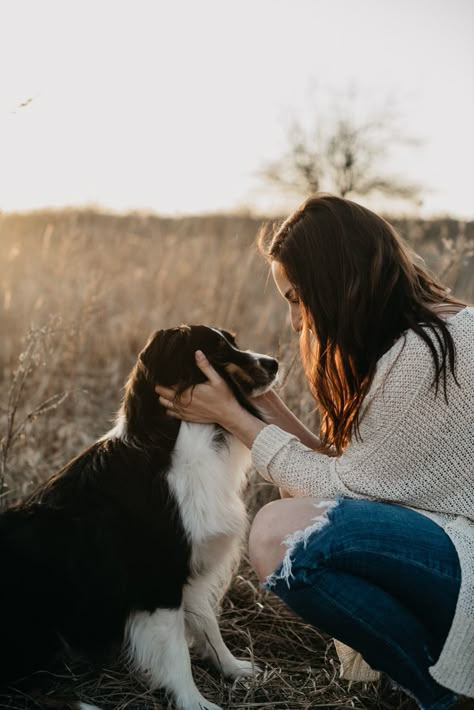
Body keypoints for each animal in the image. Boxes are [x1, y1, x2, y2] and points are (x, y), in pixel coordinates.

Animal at [0, 326, 280, 708]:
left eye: (234, 340)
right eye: (220, 349)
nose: (274, 363)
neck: (180, 439)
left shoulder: (190, 564)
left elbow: (208, 624)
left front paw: (232, 667)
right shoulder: (159, 577)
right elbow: (176, 652)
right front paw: (193, 701)